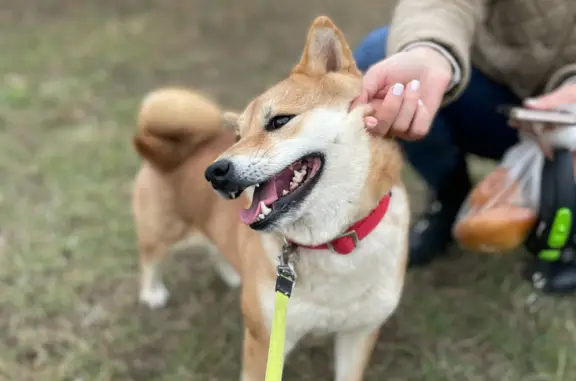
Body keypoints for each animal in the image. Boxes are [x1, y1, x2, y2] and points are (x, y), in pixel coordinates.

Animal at [133, 15, 410, 380]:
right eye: (238, 136)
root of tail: (163, 150)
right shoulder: (264, 339)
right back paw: (152, 292)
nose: (214, 171)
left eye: (279, 120)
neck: (329, 243)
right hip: (162, 231)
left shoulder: (359, 333)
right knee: (150, 257)